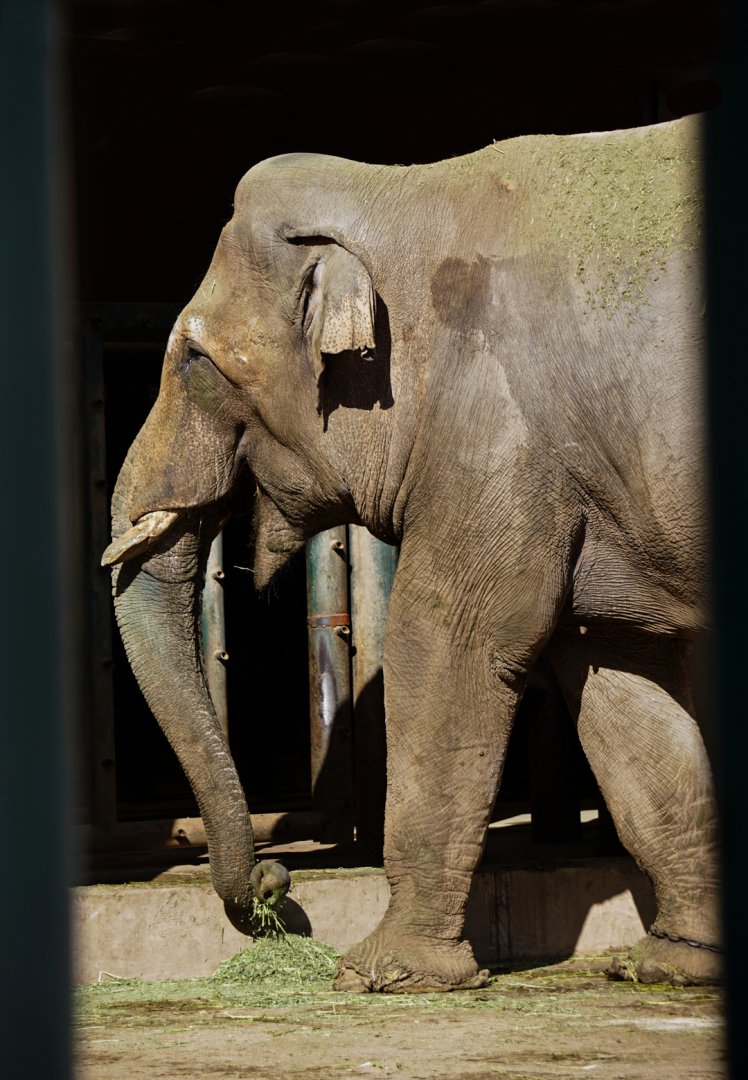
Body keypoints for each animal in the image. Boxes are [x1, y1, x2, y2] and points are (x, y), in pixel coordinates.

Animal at [104, 112, 720, 991]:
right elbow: (617, 684)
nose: (275, 885)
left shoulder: (490, 435)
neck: (398, 187)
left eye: (193, 362)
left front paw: (379, 975)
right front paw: (670, 965)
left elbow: (444, 645)